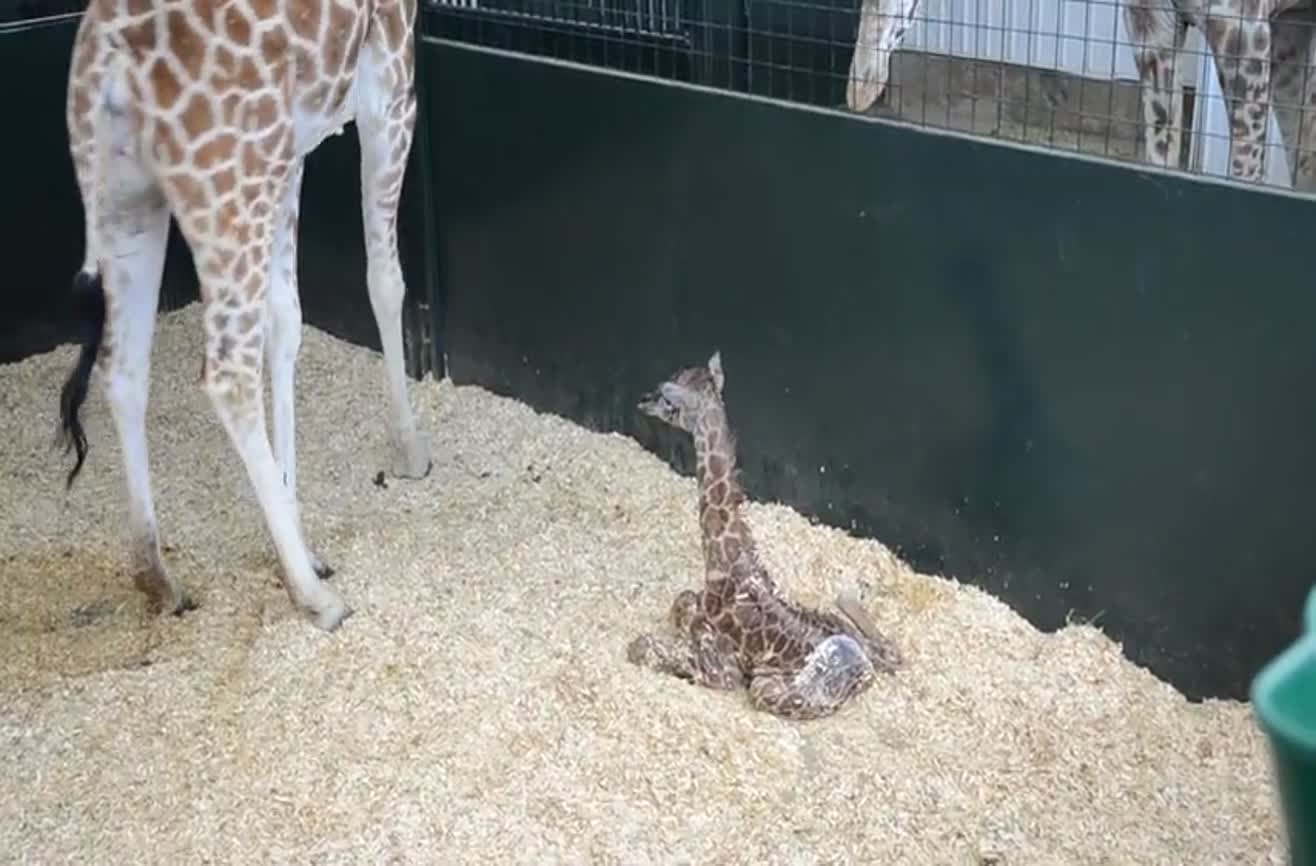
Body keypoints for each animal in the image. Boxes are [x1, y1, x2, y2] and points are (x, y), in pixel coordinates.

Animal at [56, 0, 432, 630]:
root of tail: (105, 54)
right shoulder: (391, 77)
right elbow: (384, 280)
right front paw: (409, 450)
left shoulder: (292, 147)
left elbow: (287, 320)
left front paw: (295, 529)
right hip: (228, 188)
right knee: (227, 373)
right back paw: (315, 597)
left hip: (125, 199)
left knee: (123, 366)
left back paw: (158, 577)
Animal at [625, 351, 903, 721]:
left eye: (666, 397)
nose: (642, 400)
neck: (724, 560)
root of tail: (864, 669)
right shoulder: (694, 606)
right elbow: (680, 603)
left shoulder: (723, 668)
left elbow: (644, 646)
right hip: (844, 631)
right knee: (890, 649)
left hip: (769, 687)